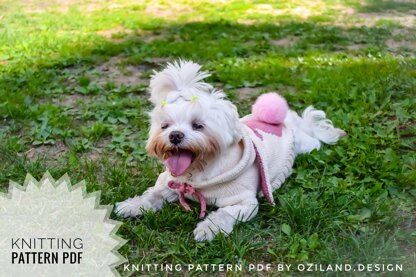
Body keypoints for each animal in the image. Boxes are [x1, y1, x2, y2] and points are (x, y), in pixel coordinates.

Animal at [114, 59, 344, 239]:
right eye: (165, 126)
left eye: (198, 125)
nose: (175, 135)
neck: (200, 172)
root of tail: (287, 122)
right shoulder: (169, 183)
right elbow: (153, 194)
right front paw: (133, 205)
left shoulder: (244, 202)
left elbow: (225, 214)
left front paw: (208, 229)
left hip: (306, 145)